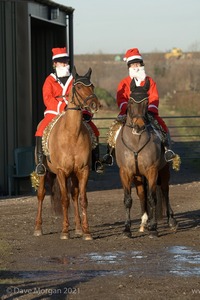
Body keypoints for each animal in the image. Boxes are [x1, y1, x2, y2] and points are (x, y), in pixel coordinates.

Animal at [33, 67, 101, 240]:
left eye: (92, 86)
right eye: (78, 87)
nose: (94, 104)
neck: (72, 133)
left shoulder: (83, 170)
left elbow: (83, 199)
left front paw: (86, 231)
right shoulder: (62, 172)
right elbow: (64, 200)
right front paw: (64, 231)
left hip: (74, 174)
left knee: (75, 195)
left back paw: (78, 227)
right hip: (45, 173)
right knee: (41, 195)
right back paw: (38, 228)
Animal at [115, 96, 177, 237]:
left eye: (147, 102)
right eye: (131, 102)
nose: (139, 126)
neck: (136, 141)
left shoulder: (152, 171)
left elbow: (152, 198)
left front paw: (153, 227)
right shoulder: (125, 172)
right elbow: (128, 199)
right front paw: (127, 229)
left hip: (164, 171)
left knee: (165, 191)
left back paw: (171, 221)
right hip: (138, 176)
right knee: (142, 193)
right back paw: (144, 222)